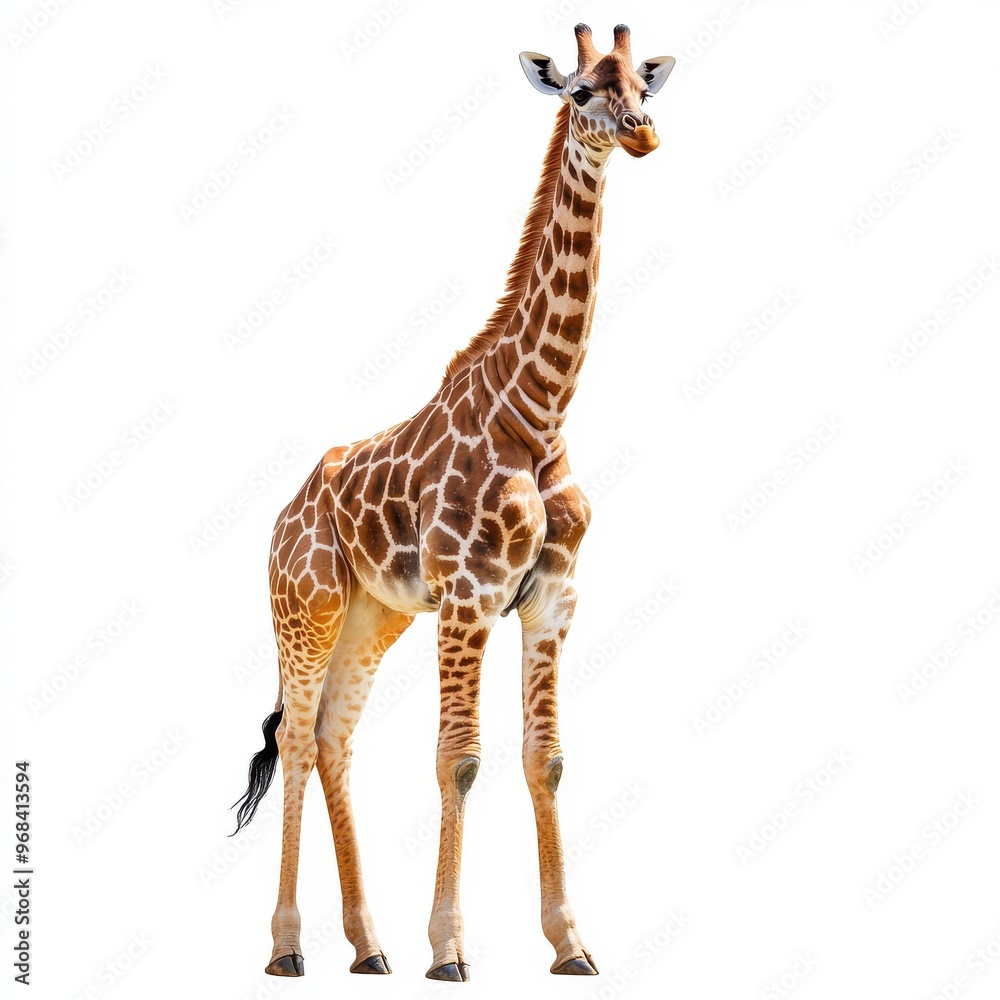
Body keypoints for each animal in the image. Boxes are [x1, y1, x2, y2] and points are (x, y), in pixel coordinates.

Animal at [232, 22, 675, 982]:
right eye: (580, 91)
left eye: (644, 89)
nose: (643, 136)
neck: (538, 409)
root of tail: (282, 517)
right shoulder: (471, 596)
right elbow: (459, 760)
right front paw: (449, 949)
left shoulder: (551, 598)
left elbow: (545, 758)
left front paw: (571, 943)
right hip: (306, 607)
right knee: (296, 738)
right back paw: (287, 948)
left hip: (376, 615)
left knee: (334, 737)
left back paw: (367, 946)